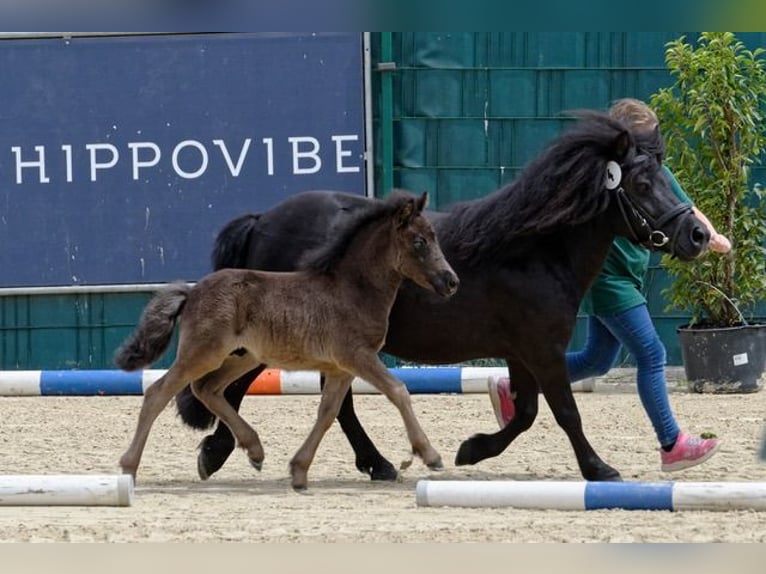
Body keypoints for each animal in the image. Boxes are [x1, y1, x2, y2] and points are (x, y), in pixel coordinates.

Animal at [177, 110, 712, 484]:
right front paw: (598, 468)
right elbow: (564, 411)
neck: (533, 249)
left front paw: (471, 449)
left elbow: (526, 412)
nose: (698, 236)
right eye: (643, 183)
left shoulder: (521, 350)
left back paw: (374, 463)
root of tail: (262, 220)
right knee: (239, 387)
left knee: (329, 401)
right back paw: (219, 452)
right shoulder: (543, 348)